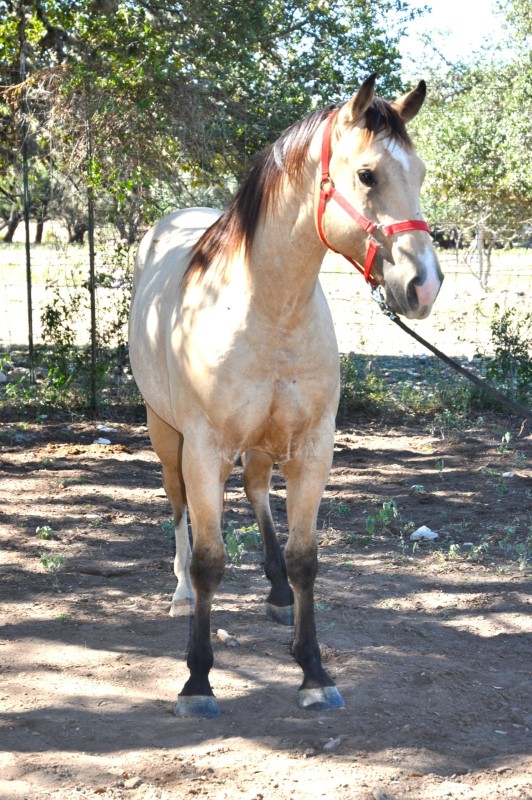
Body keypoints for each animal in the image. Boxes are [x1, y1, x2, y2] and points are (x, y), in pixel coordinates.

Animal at [130, 73, 444, 720]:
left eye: (421, 173)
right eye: (368, 175)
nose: (423, 287)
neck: (267, 306)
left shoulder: (313, 448)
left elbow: (305, 559)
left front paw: (313, 672)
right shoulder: (203, 448)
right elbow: (210, 560)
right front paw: (197, 681)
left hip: (262, 443)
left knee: (253, 490)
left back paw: (274, 591)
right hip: (166, 434)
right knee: (178, 510)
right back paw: (179, 593)